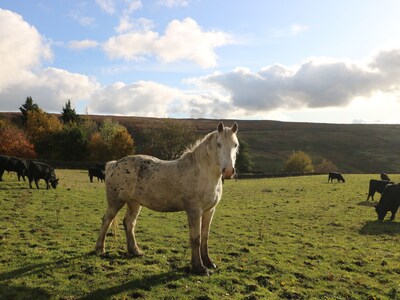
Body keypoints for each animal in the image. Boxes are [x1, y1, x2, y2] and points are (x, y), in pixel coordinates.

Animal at [95, 121, 239, 274]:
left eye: (235, 145)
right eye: (218, 144)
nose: (228, 171)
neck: (201, 172)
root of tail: (114, 164)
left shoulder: (209, 211)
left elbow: (205, 237)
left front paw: (209, 263)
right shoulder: (194, 211)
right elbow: (196, 238)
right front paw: (199, 267)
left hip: (134, 203)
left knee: (129, 223)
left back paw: (135, 251)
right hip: (116, 202)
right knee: (106, 220)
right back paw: (100, 249)